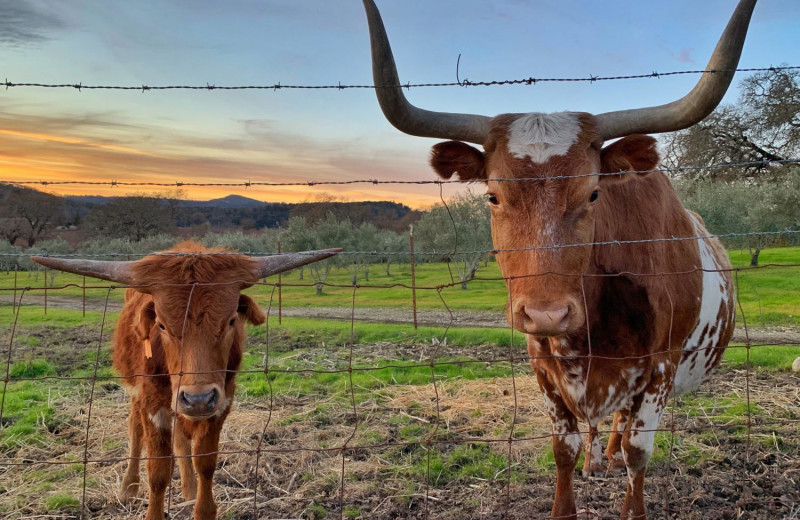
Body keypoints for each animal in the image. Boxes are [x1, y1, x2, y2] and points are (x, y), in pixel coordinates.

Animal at [33, 242, 338, 520]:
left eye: (230, 321)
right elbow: (157, 471)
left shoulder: (221, 402)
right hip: (138, 393)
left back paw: (189, 488)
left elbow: (205, 462)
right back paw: (129, 487)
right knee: (135, 430)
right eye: (162, 325)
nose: (198, 398)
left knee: (180, 440)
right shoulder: (152, 403)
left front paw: (201, 505)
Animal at [362, 1, 755, 518]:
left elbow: (639, 452)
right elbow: (562, 449)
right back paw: (596, 458)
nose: (547, 314)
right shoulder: (543, 365)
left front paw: (631, 496)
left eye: (593, 194)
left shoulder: (661, 369)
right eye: (492, 196)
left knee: (624, 427)